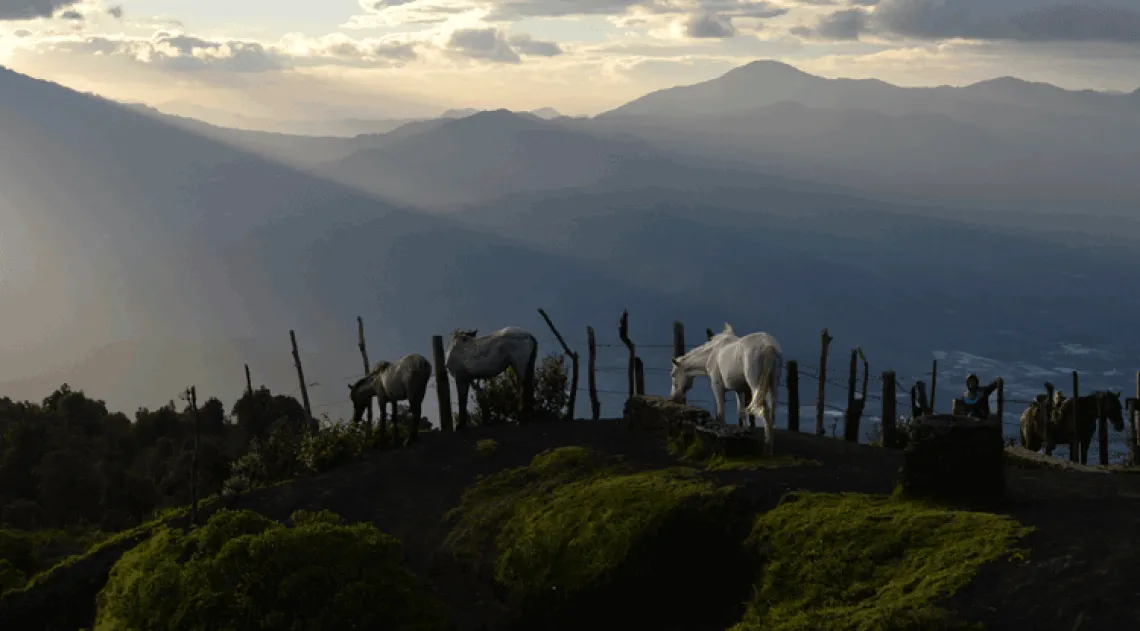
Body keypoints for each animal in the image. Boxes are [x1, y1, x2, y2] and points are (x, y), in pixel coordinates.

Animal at [665, 323, 784, 451]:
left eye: (673, 375)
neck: (712, 354)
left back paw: (767, 445)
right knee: (772, 410)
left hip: (756, 386)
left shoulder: (717, 387)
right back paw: (771, 444)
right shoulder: (739, 390)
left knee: (764, 409)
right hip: (773, 384)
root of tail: (768, 346)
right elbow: (741, 412)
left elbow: (720, 414)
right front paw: (744, 432)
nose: (673, 398)